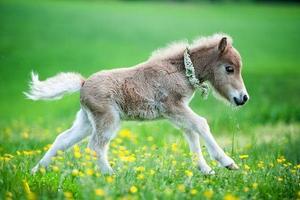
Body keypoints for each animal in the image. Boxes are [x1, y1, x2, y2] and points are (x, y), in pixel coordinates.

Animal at [26, 33, 248, 174]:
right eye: (229, 69)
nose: (243, 98)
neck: (181, 70)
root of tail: (83, 83)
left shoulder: (176, 113)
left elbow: (192, 135)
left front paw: (206, 170)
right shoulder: (173, 107)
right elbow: (201, 124)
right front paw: (228, 163)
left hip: (87, 122)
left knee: (63, 139)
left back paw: (36, 170)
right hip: (108, 119)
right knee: (96, 145)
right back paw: (110, 174)